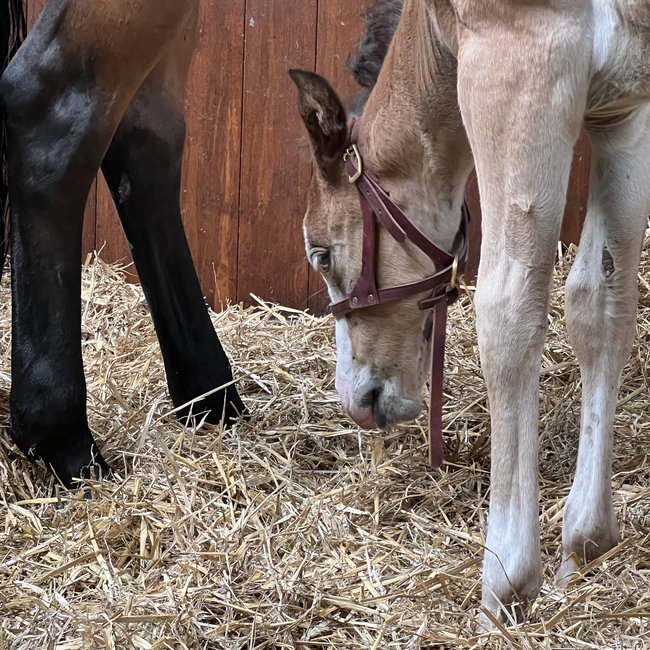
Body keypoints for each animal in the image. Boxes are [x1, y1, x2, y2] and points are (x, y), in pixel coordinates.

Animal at [291, 0, 650, 624]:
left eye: (322, 254)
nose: (355, 399)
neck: (433, 33)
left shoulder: (517, 56)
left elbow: (508, 311)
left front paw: (507, 581)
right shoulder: (625, 108)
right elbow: (599, 301)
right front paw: (587, 540)